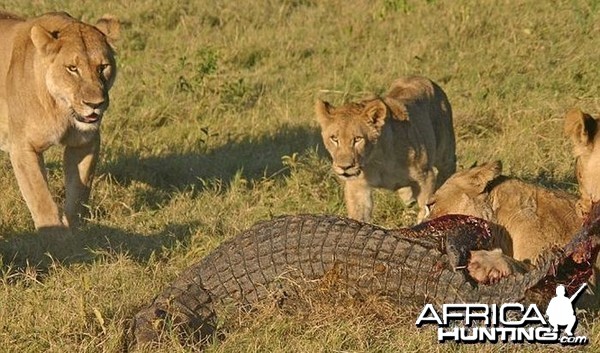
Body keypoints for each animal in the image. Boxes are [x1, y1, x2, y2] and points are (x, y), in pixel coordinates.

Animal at [0, 11, 119, 232]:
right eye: (72, 68)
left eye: (102, 67)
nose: (95, 104)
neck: (61, 110)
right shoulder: (22, 147)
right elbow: (41, 199)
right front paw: (54, 236)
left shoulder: (85, 143)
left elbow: (78, 192)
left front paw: (74, 232)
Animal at [314, 75, 454, 221]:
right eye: (334, 138)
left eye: (357, 139)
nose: (344, 167)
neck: (376, 161)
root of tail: (421, 77)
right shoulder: (357, 187)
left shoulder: (425, 177)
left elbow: (424, 209)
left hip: (445, 152)